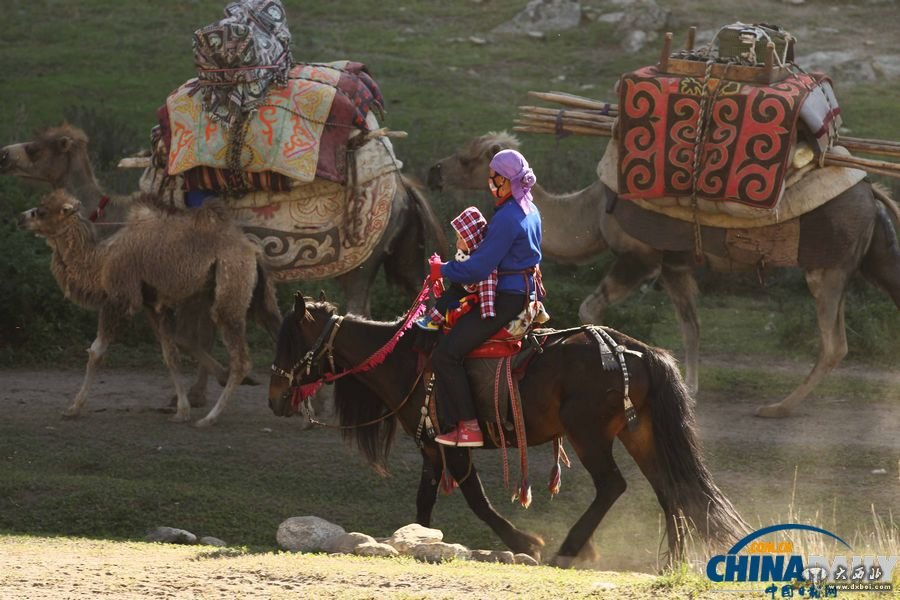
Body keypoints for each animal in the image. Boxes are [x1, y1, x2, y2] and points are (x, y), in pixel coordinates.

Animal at [20, 190, 282, 428]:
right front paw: (182, 412)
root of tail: (253, 252)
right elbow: (170, 355)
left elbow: (96, 352)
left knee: (241, 359)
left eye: (42, 211)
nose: (22, 217)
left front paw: (73, 408)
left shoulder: (119, 299)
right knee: (276, 329)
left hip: (230, 284)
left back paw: (210, 418)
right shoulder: (155, 306)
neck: (101, 260)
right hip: (257, 298)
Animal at [268, 294, 752, 568]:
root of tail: (637, 350)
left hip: (589, 433)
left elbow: (476, 499)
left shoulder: (452, 444)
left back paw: (570, 549)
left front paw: (526, 542)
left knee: (613, 486)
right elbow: (425, 501)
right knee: (671, 489)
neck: (407, 362)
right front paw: (418, 539)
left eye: (289, 342)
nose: (274, 398)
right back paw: (673, 560)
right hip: (641, 434)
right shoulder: (430, 445)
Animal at [428, 132, 900, 418]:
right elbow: (691, 326)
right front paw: (689, 389)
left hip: (827, 266)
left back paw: (778, 407)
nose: (434, 172)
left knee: (834, 343)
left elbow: (590, 307)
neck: (592, 210)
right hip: (872, 257)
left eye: (468, 159)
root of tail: (872, 192)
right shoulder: (675, 264)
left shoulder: (641, 257)